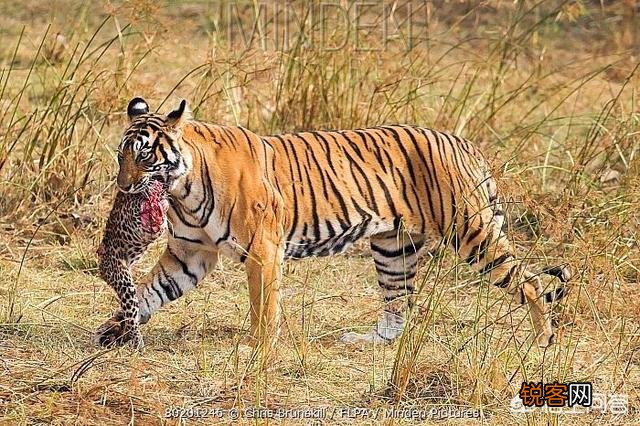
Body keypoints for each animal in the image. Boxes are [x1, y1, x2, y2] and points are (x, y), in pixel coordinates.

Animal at [94, 96, 570, 350]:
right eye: (120, 155)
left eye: (144, 155)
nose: (123, 186)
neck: (184, 188)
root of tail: (466, 143)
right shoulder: (189, 253)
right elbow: (147, 291)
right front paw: (117, 328)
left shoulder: (263, 251)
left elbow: (263, 306)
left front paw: (258, 347)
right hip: (393, 248)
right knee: (399, 307)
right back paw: (367, 340)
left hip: (472, 232)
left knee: (529, 281)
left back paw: (543, 339)